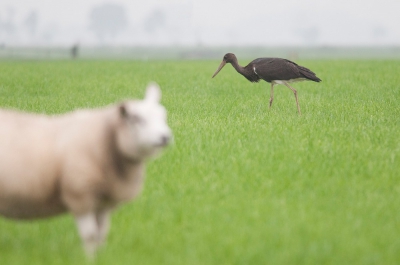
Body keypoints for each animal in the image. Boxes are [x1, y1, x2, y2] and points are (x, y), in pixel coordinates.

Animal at [0, 82, 171, 256]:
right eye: (136, 119)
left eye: (163, 116)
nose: (165, 137)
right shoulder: (80, 193)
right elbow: (90, 235)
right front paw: (88, 257)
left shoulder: (102, 202)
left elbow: (101, 233)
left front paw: (102, 256)